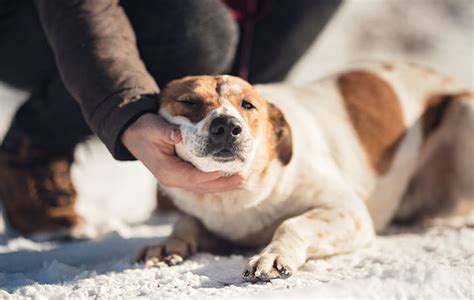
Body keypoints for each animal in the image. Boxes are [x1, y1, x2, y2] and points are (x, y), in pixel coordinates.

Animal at [135, 62, 472, 282]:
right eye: (188, 102)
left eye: (247, 105)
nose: (227, 127)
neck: (237, 198)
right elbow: (186, 221)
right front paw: (168, 243)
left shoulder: (349, 212)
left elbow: (293, 223)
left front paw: (273, 255)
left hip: (463, 110)